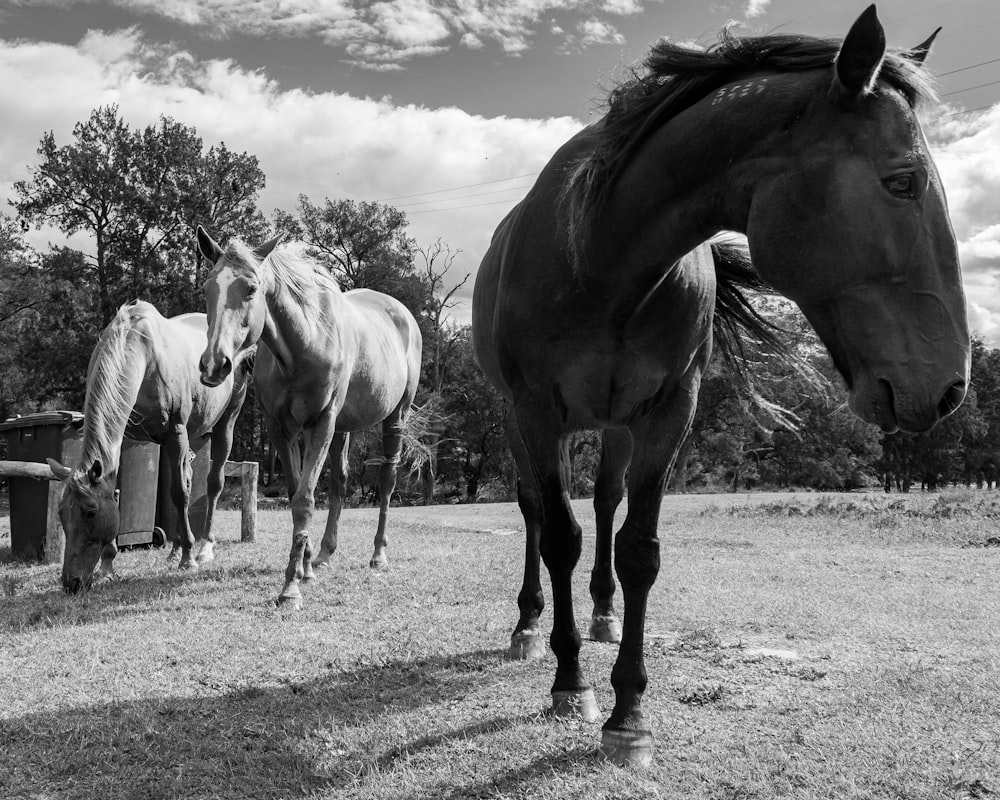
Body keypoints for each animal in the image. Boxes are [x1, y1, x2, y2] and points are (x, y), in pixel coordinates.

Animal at [47, 300, 252, 588]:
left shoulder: (175, 432)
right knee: (189, 478)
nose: (71, 583)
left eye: (91, 512)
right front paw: (108, 566)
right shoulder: (126, 437)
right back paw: (175, 549)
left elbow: (179, 493)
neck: (142, 351)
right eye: (61, 513)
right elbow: (123, 493)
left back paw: (203, 549)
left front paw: (188, 559)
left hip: (225, 424)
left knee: (213, 483)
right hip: (193, 434)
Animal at [195, 222, 422, 608]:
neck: (306, 341)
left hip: (396, 418)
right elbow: (296, 490)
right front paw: (305, 563)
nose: (214, 364)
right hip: (344, 428)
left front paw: (291, 587)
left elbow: (304, 499)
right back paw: (325, 553)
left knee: (387, 480)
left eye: (251, 288)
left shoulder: (321, 423)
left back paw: (378, 555)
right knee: (341, 482)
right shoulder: (282, 428)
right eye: (209, 288)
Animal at [472, 7, 972, 768]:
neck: (602, 256)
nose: (951, 387)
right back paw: (530, 625)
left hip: (616, 424)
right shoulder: (536, 410)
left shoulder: (666, 412)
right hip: (517, 421)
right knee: (534, 513)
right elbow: (559, 536)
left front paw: (630, 715)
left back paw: (603, 614)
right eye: (903, 182)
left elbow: (639, 550)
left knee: (606, 503)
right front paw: (570, 686)